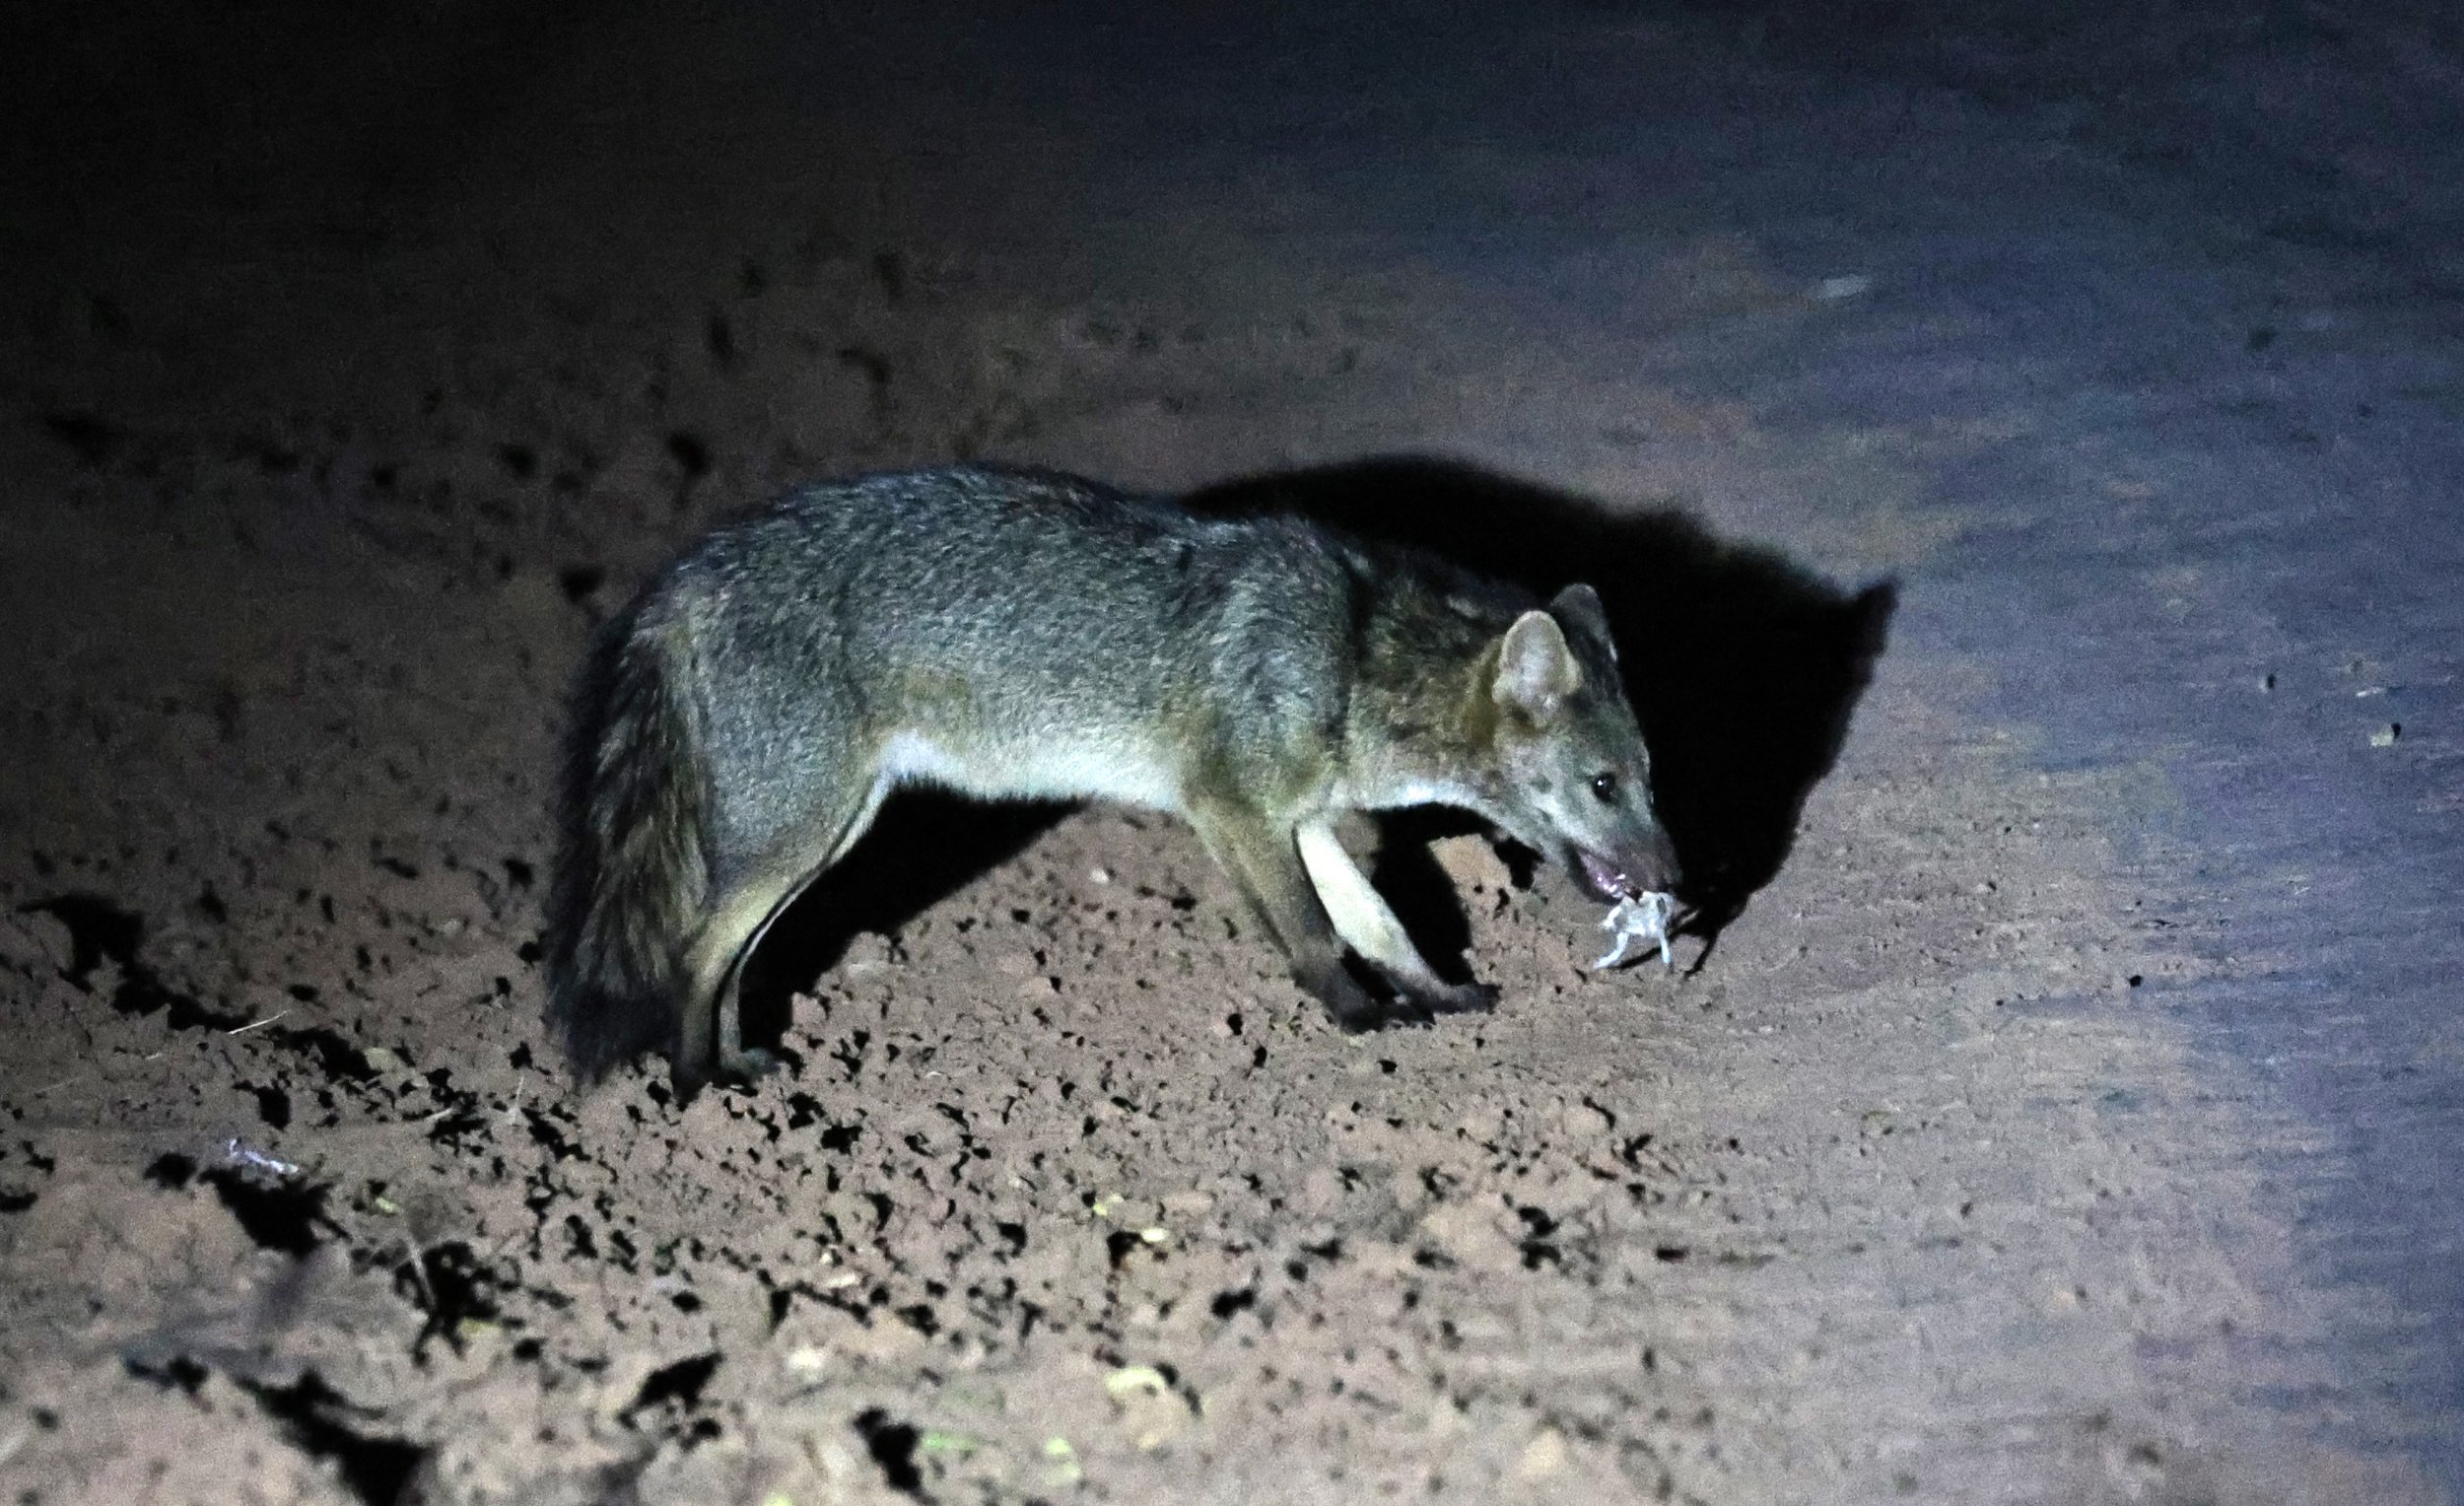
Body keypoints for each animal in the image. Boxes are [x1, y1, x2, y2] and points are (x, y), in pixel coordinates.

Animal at [545, 465, 1679, 1091]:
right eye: (1604, 786)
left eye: (1650, 778)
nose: (1681, 880)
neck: (1353, 647)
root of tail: (685, 576)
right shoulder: (1232, 813)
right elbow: (1315, 939)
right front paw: (1359, 1021)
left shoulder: (1304, 821)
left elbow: (1381, 923)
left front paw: (1437, 994)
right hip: (799, 833)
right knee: (696, 951)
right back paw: (695, 1080)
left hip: (825, 836)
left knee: (731, 961)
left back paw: (736, 1063)